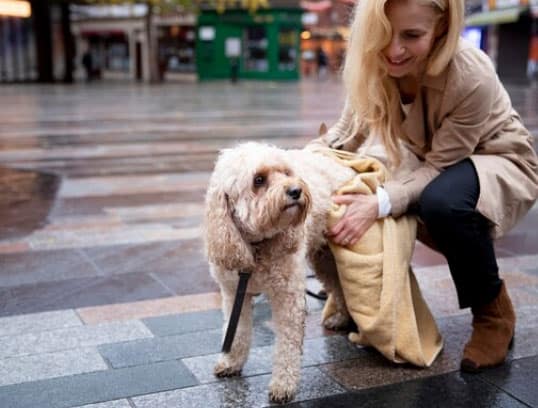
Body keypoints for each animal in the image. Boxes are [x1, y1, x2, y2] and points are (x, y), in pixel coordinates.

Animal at [201, 142, 352, 404]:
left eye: (286, 172)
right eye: (258, 180)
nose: (296, 190)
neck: (257, 245)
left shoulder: (287, 297)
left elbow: (287, 346)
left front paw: (284, 385)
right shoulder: (233, 293)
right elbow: (237, 332)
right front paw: (231, 362)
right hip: (323, 259)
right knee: (337, 284)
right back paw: (341, 318)